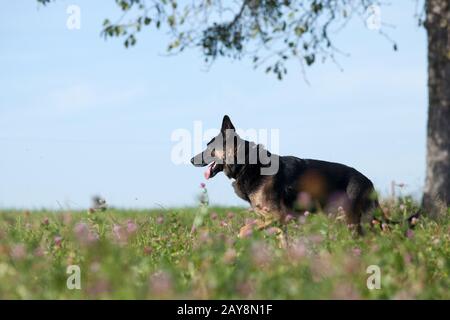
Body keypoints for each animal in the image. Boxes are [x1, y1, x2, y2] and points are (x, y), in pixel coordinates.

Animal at [192, 115, 416, 242]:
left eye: (211, 148)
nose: (191, 159)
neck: (246, 164)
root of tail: (368, 181)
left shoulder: (277, 215)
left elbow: (244, 228)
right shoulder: (277, 222)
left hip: (353, 221)